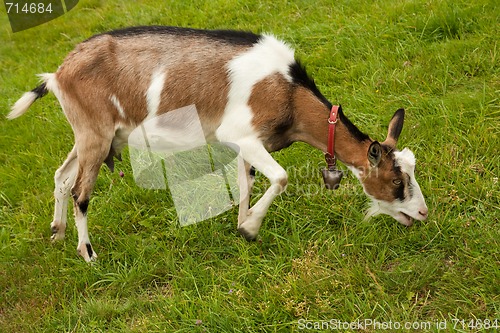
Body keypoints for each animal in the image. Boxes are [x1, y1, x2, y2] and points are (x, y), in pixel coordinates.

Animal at [9, 26, 428, 260]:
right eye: (396, 180)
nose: (423, 214)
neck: (290, 92)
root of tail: (58, 73)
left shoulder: (248, 145)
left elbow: (247, 183)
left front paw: (244, 224)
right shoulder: (241, 133)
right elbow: (280, 178)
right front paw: (250, 228)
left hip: (92, 135)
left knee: (62, 176)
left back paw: (57, 233)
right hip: (95, 135)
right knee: (80, 192)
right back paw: (88, 254)